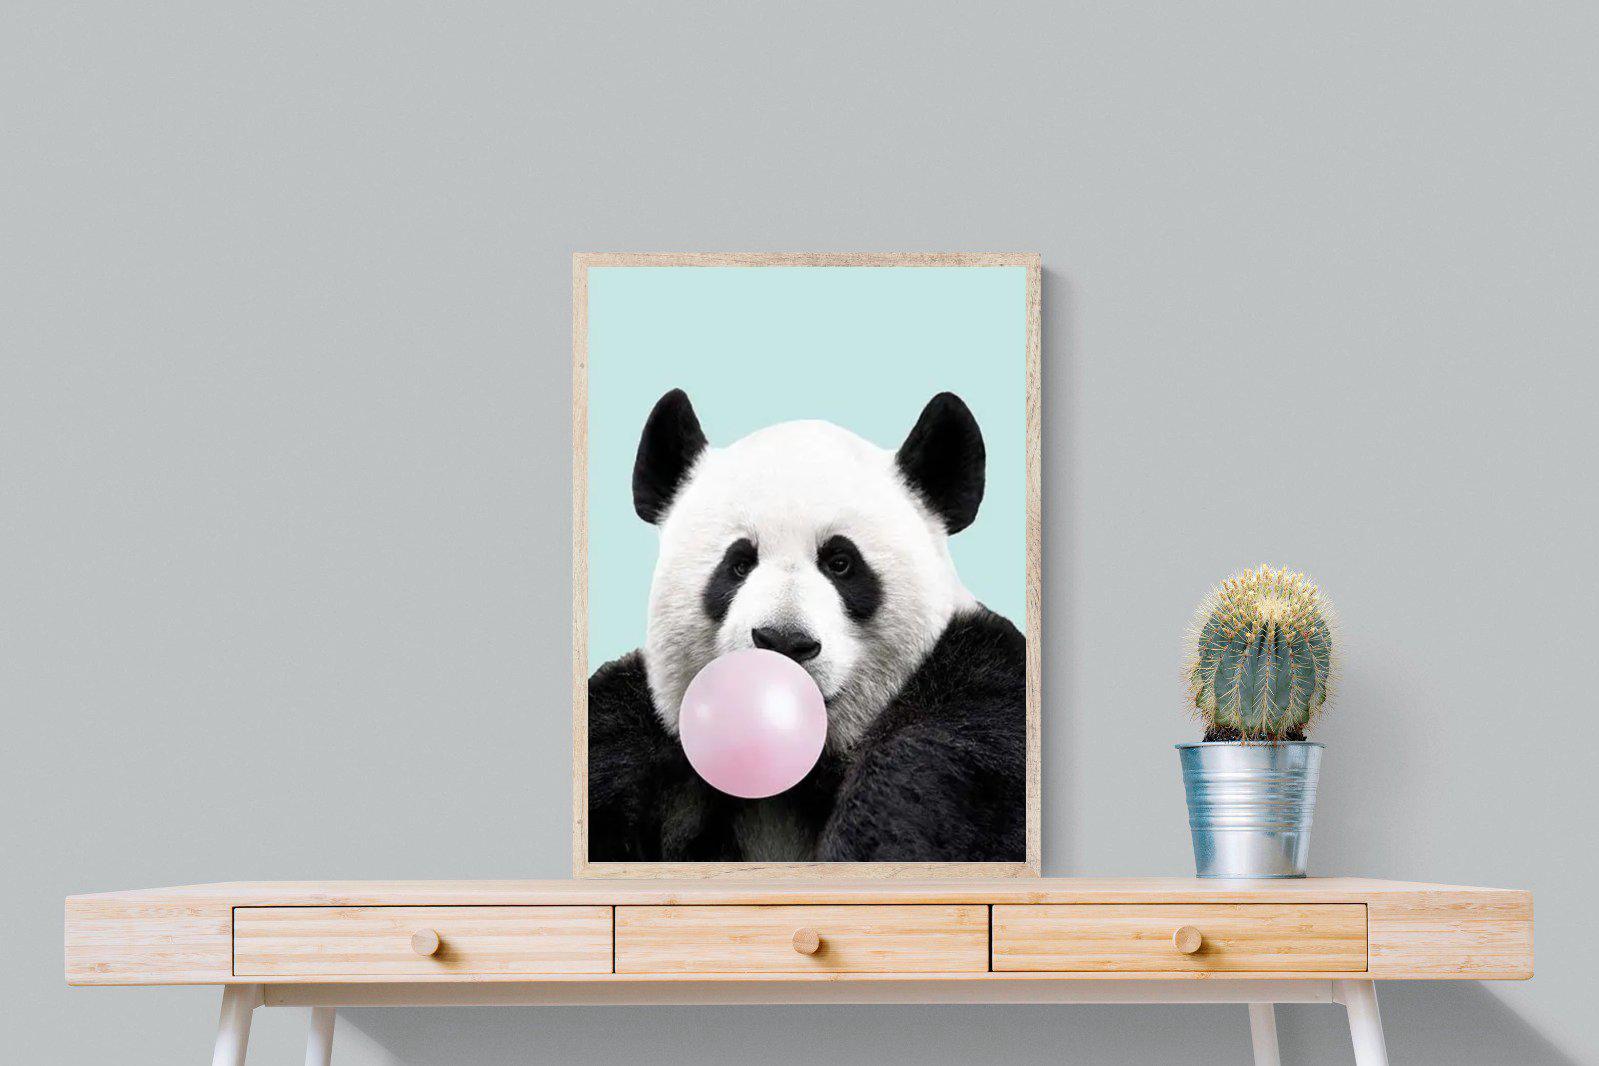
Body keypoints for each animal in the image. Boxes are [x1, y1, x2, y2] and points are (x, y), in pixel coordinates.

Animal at [587, 389, 1026, 863]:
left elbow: (932, 778)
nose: (783, 641)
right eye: (738, 564)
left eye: (841, 563)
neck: (795, 777)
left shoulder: (981, 701)